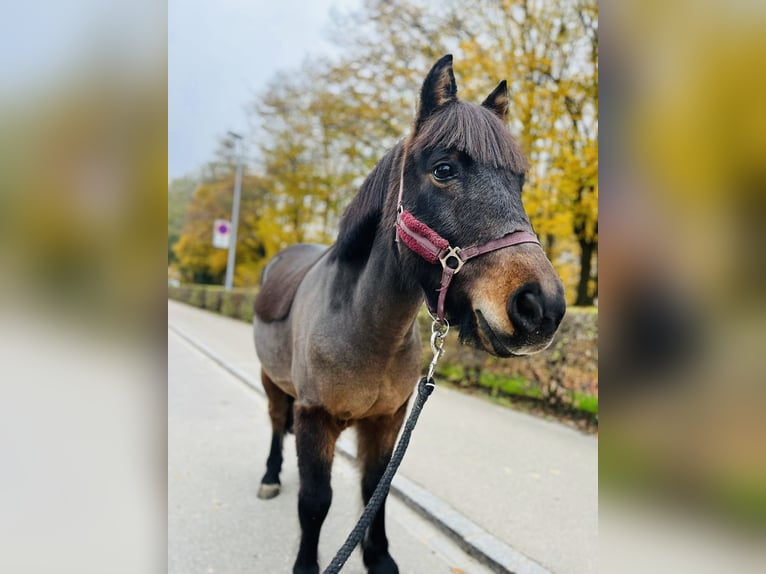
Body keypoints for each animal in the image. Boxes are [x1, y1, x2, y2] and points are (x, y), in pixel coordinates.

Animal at [255, 55, 568, 574]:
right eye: (443, 169)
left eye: (518, 181)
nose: (541, 307)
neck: (364, 331)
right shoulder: (315, 417)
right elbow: (315, 502)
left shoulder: (388, 420)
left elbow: (374, 490)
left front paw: (378, 557)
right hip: (271, 381)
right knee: (277, 423)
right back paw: (270, 475)